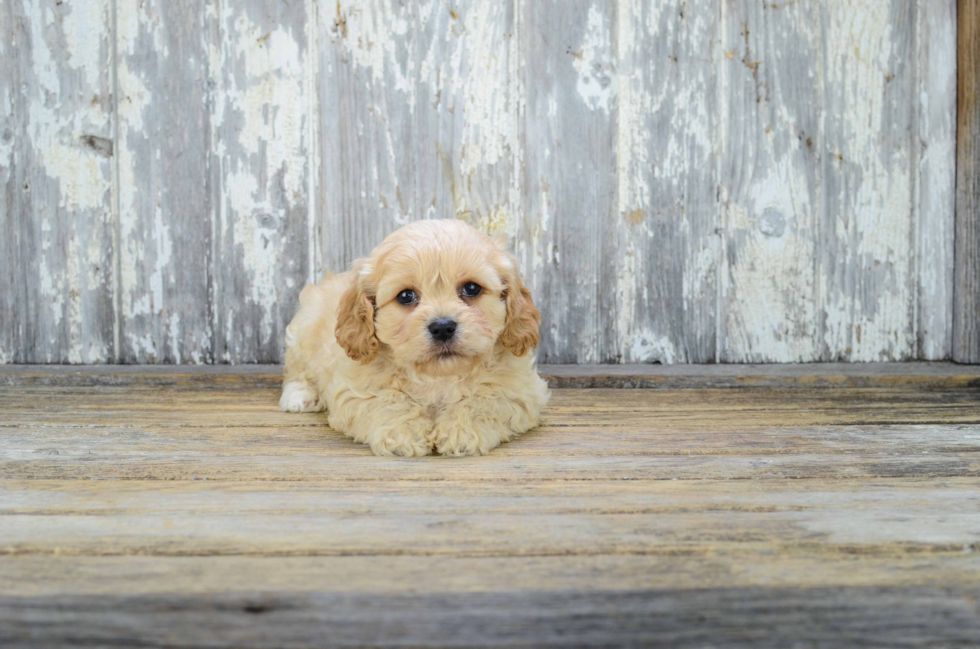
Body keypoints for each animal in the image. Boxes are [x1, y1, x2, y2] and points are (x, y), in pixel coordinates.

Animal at [280, 220, 548, 458]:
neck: (438, 376)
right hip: (303, 329)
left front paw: (461, 431)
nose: (443, 327)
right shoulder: (355, 389)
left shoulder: (520, 390)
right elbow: (388, 400)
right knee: (297, 370)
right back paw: (300, 396)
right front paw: (404, 432)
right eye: (406, 296)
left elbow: (485, 399)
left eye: (472, 288)